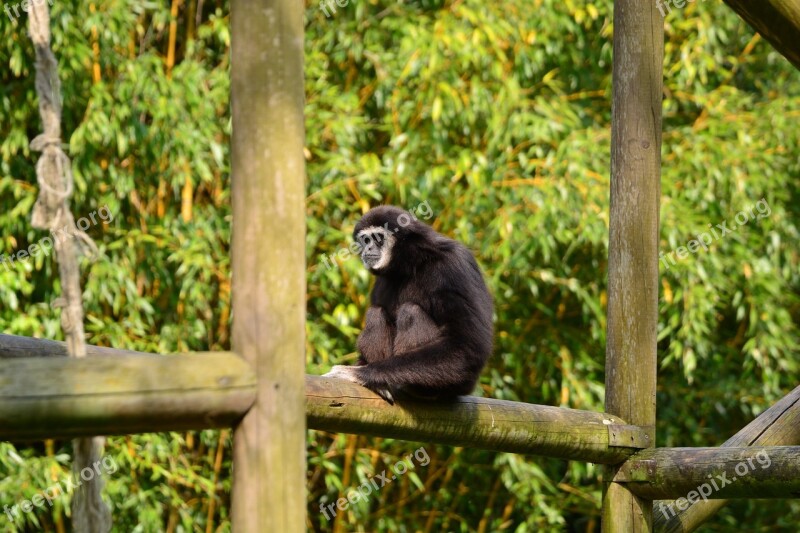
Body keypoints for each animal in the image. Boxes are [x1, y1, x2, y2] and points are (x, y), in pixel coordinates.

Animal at [324, 206, 494, 402]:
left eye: (377, 238)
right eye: (365, 239)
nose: (368, 247)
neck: (412, 262)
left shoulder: (455, 267)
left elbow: (467, 346)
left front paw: (359, 373)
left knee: (410, 310)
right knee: (375, 312)